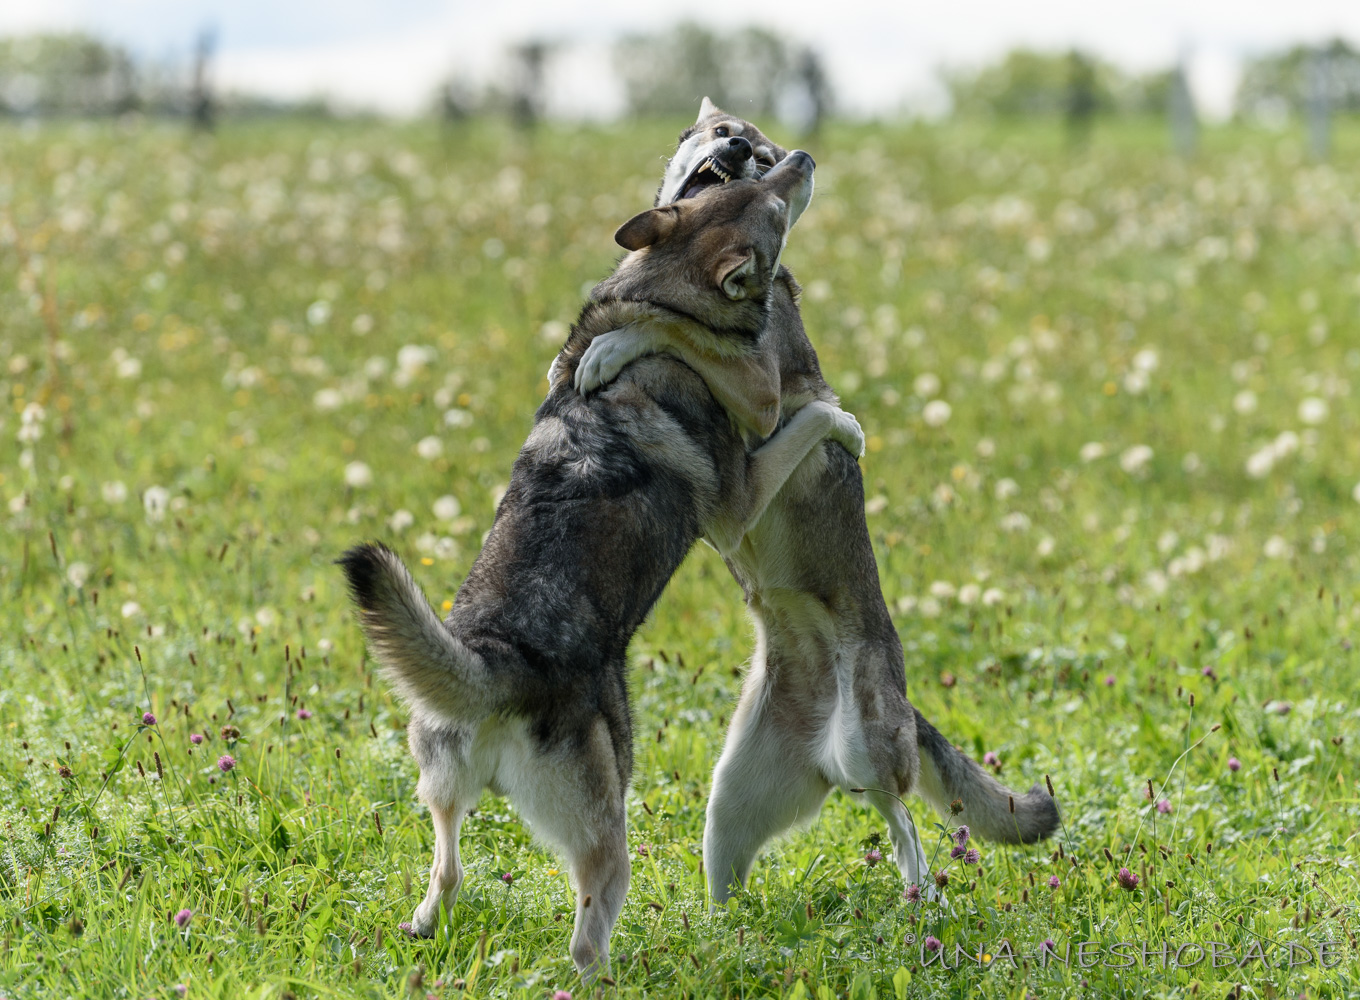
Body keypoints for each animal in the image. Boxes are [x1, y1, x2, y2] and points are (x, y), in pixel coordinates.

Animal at [339, 152, 864, 976]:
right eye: (775, 211)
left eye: (741, 187)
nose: (801, 158)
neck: (665, 287)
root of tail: (501, 669)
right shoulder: (740, 499)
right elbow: (804, 417)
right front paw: (843, 420)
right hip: (607, 822)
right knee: (588, 937)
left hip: (441, 783)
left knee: (447, 867)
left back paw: (427, 920)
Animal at [575, 100, 1060, 905]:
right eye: (723, 134)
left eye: (763, 156)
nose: (745, 149)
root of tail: (820, 746)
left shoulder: (763, 390)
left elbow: (674, 328)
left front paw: (613, 346)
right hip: (729, 801)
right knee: (744, 863)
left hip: (867, 743)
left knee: (902, 816)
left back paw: (919, 892)